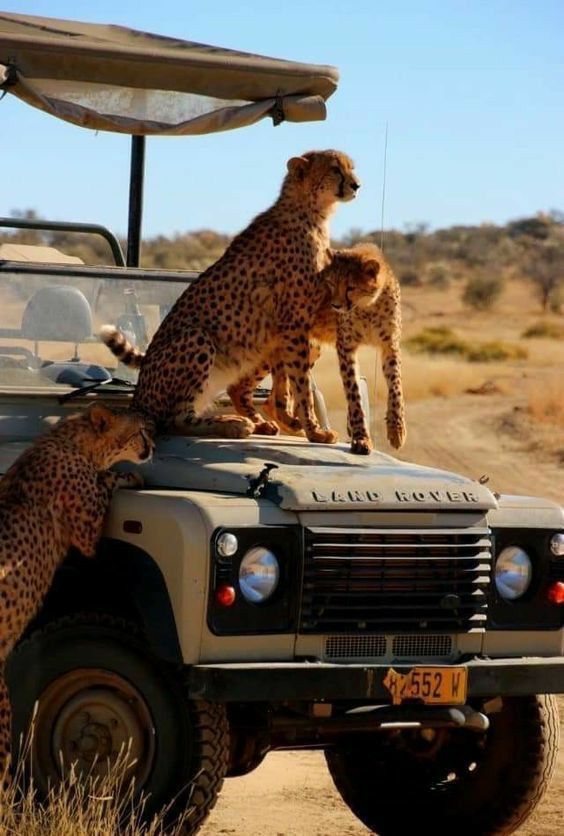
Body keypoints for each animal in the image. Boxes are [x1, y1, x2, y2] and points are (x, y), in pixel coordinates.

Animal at [0, 402, 153, 780]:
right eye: (140, 431)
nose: (154, 446)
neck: (73, 439)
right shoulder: (87, 533)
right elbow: (105, 480)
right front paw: (129, 476)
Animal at [101, 150, 360, 444]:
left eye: (351, 168)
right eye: (335, 169)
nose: (356, 185)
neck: (311, 210)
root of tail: (136, 402)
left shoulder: (288, 327)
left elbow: (285, 379)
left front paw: (290, 419)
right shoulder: (294, 322)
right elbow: (301, 382)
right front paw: (315, 430)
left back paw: (256, 423)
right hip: (197, 338)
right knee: (173, 420)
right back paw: (232, 424)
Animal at [229, 245, 406, 454]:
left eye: (350, 287)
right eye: (330, 283)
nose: (335, 305)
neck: (369, 305)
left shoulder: (390, 346)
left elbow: (396, 388)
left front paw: (396, 431)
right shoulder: (345, 347)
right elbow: (354, 394)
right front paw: (361, 438)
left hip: (308, 347)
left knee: (270, 400)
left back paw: (287, 427)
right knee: (238, 388)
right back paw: (264, 425)